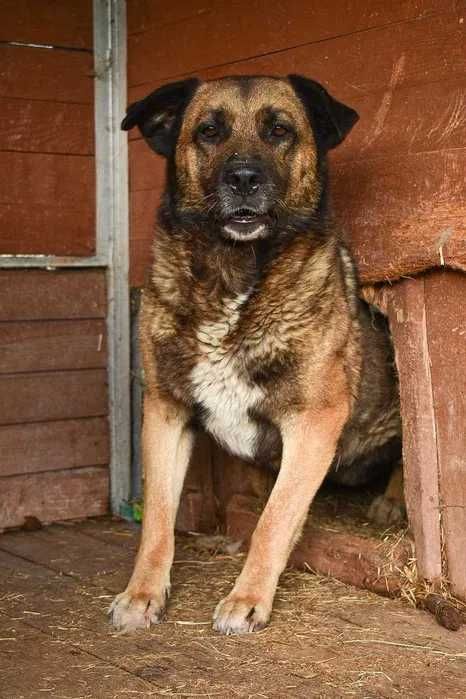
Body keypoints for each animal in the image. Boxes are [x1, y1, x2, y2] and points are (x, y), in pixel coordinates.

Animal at [111, 75, 402, 636]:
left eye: (279, 131)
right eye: (208, 131)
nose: (243, 178)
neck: (233, 275)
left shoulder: (312, 423)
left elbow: (273, 520)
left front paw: (247, 599)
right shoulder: (165, 411)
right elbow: (157, 518)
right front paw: (142, 593)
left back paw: (396, 499)